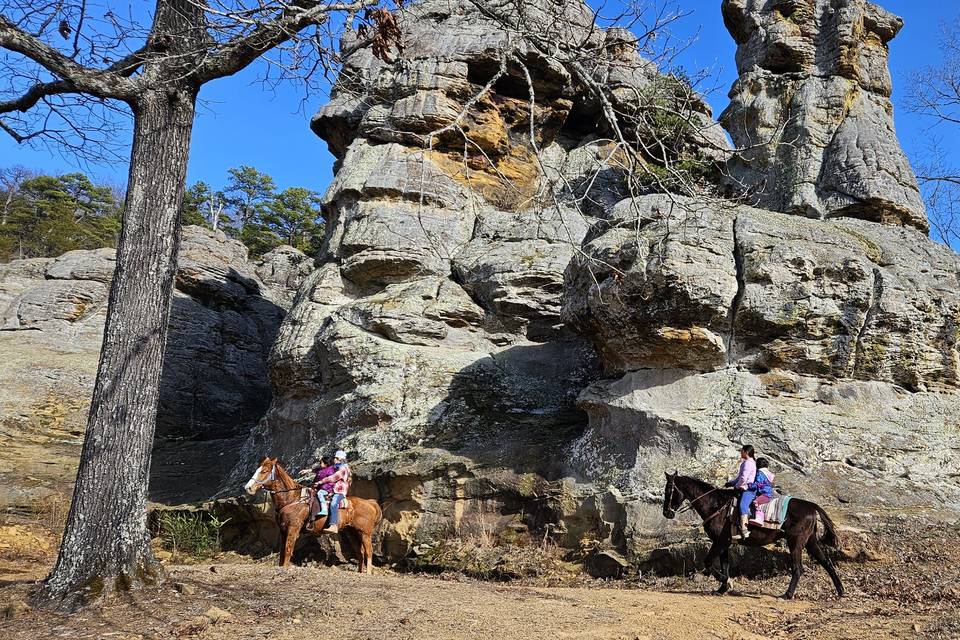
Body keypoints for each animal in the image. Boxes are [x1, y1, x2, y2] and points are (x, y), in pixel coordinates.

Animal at [243, 457, 383, 572]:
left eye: (264, 471)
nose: (248, 488)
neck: (292, 498)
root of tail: (370, 503)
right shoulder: (283, 530)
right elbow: (283, 551)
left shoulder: (293, 528)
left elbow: (288, 550)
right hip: (352, 532)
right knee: (360, 552)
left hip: (365, 533)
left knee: (369, 552)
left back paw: (368, 573)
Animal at [662, 472, 844, 599]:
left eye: (669, 490)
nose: (666, 513)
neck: (716, 505)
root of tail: (811, 506)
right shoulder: (724, 543)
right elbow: (725, 564)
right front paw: (722, 588)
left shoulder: (721, 541)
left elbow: (708, 562)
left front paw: (725, 581)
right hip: (810, 542)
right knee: (827, 562)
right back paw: (841, 591)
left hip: (796, 542)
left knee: (798, 568)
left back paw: (787, 594)